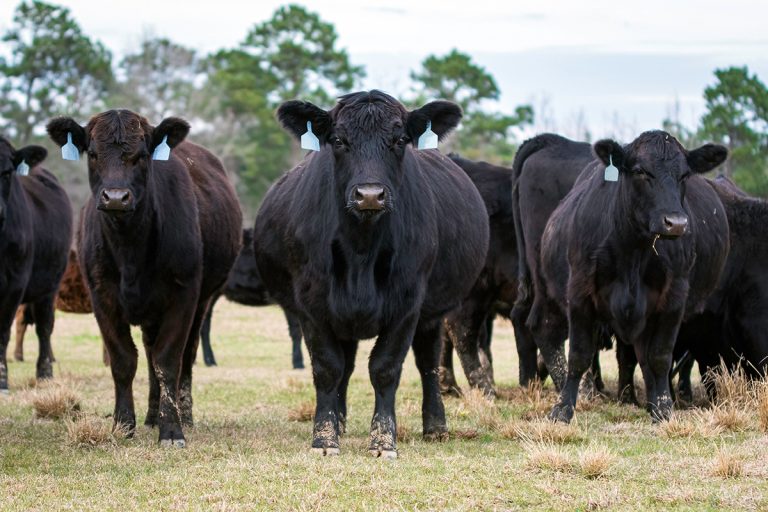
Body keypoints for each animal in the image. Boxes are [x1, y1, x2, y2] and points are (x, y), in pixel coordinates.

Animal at [0, 136, 72, 392]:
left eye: (7, 172)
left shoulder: (14, 283)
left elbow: (3, 330)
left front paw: (2, 378)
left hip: (50, 287)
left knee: (44, 327)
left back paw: (45, 372)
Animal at [47, 110, 242, 447]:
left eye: (141, 156)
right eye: (93, 154)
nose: (115, 197)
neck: (130, 250)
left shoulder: (183, 296)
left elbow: (169, 361)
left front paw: (172, 430)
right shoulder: (102, 298)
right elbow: (124, 360)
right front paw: (124, 424)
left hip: (202, 301)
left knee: (185, 356)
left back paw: (182, 415)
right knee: (149, 353)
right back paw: (152, 415)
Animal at [253, 90, 489, 458]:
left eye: (399, 140)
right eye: (338, 140)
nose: (369, 195)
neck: (360, 250)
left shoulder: (407, 306)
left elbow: (385, 369)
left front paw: (383, 441)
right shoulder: (311, 305)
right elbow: (328, 368)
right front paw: (325, 438)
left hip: (432, 314)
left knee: (428, 362)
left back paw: (436, 425)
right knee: (347, 366)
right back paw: (340, 421)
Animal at [538, 131, 729, 423]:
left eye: (685, 175)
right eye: (640, 171)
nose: (676, 223)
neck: (633, 250)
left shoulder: (674, 298)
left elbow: (659, 356)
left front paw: (663, 409)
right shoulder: (579, 292)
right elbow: (579, 355)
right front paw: (562, 409)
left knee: (645, 357)